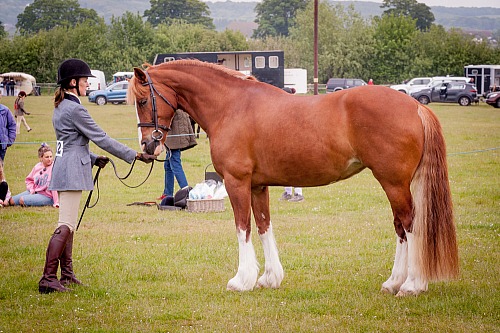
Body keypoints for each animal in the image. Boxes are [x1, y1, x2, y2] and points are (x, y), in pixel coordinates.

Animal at [127, 59, 458, 296]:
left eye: (142, 101)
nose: (147, 147)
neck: (231, 105)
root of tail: (415, 105)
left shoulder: (236, 182)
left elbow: (242, 227)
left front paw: (241, 280)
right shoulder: (258, 185)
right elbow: (264, 226)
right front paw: (269, 278)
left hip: (393, 183)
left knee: (409, 224)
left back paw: (412, 285)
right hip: (395, 184)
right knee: (400, 227)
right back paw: (393, 282)